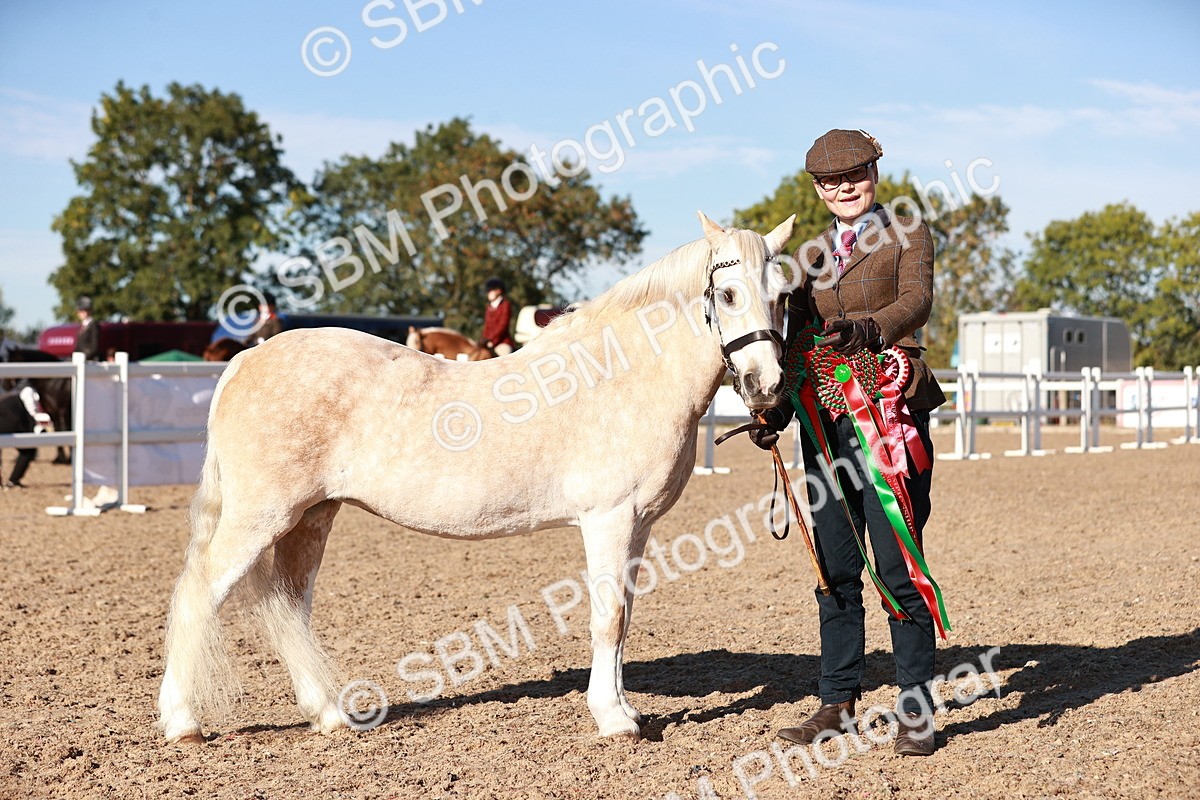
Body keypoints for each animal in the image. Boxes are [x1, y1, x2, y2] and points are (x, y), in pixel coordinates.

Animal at [157, 212, 796, 744]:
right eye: (728, 294)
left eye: (783, 297)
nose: (767, 387)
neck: (617, 373)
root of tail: (245, 360)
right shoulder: (608, 520)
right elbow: (608, 616)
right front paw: (614, 721)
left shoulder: (637, 526)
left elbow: (625, 613)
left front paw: (625, 708)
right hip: (260, 516)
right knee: (200, 592)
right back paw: (182, 722)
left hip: (310, 516)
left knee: (287, 604)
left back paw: (331, 714)